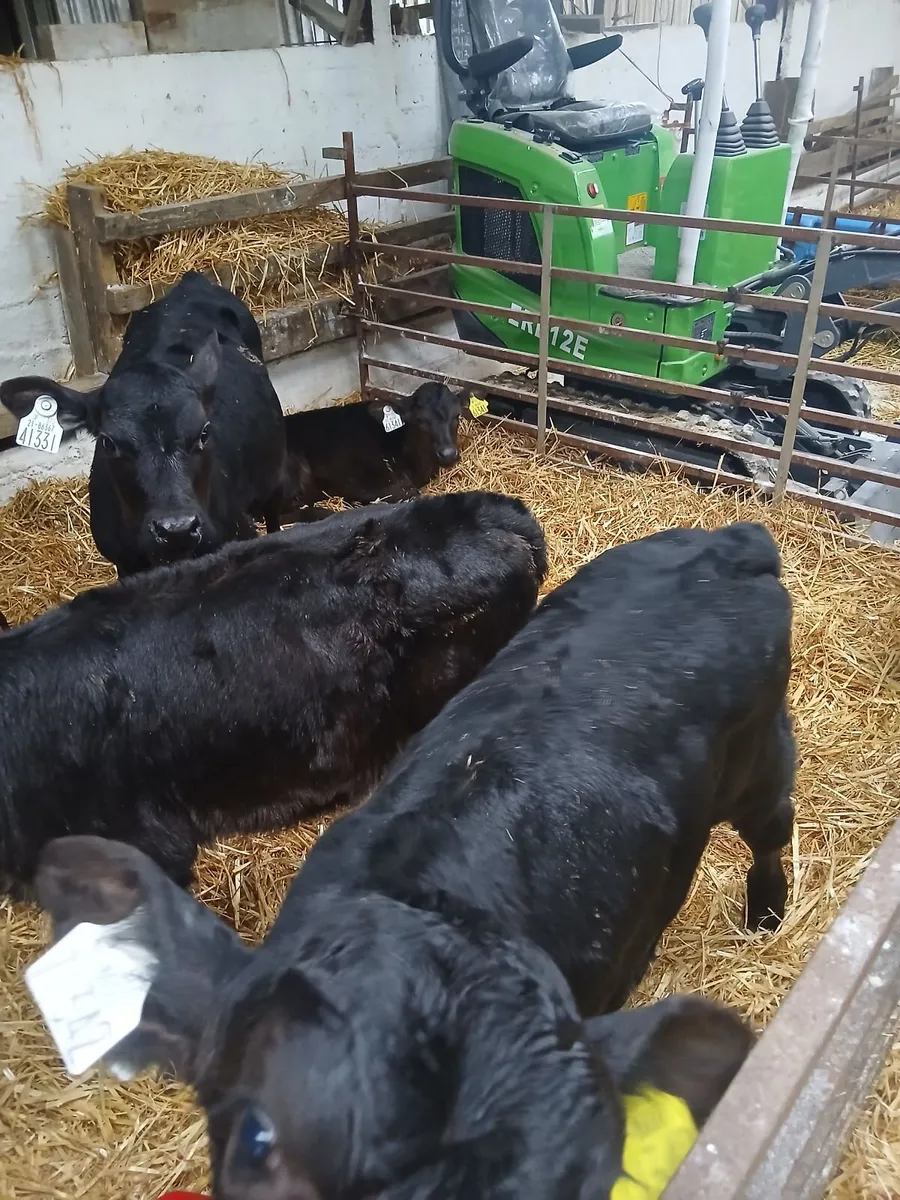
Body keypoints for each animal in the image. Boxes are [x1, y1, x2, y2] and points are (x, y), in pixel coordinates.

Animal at [0, 273, 288, 576]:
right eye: (108, 443)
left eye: (204, 433)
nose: (177, 528)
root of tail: (191, 282)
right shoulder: (124, 561)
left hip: (273, 476)